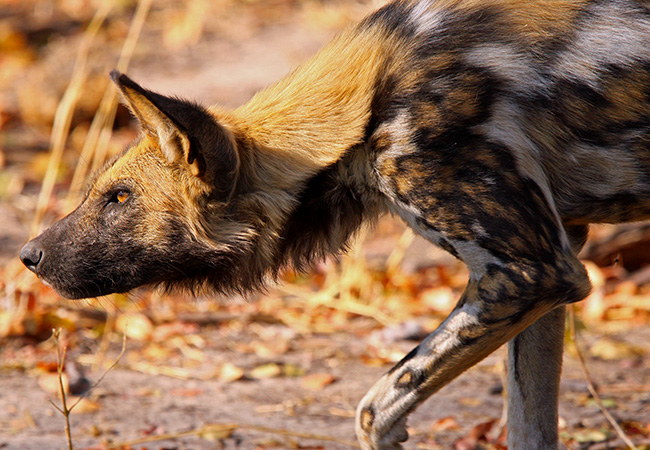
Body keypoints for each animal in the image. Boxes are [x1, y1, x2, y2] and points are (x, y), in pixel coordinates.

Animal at [20, 0, 648, 448]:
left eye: (119, 198)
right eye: (104, 193)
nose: (28, 255)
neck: (366, 111)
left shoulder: (529, 272)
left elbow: (373, 412)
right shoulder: (553, 263)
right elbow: (528, 426)